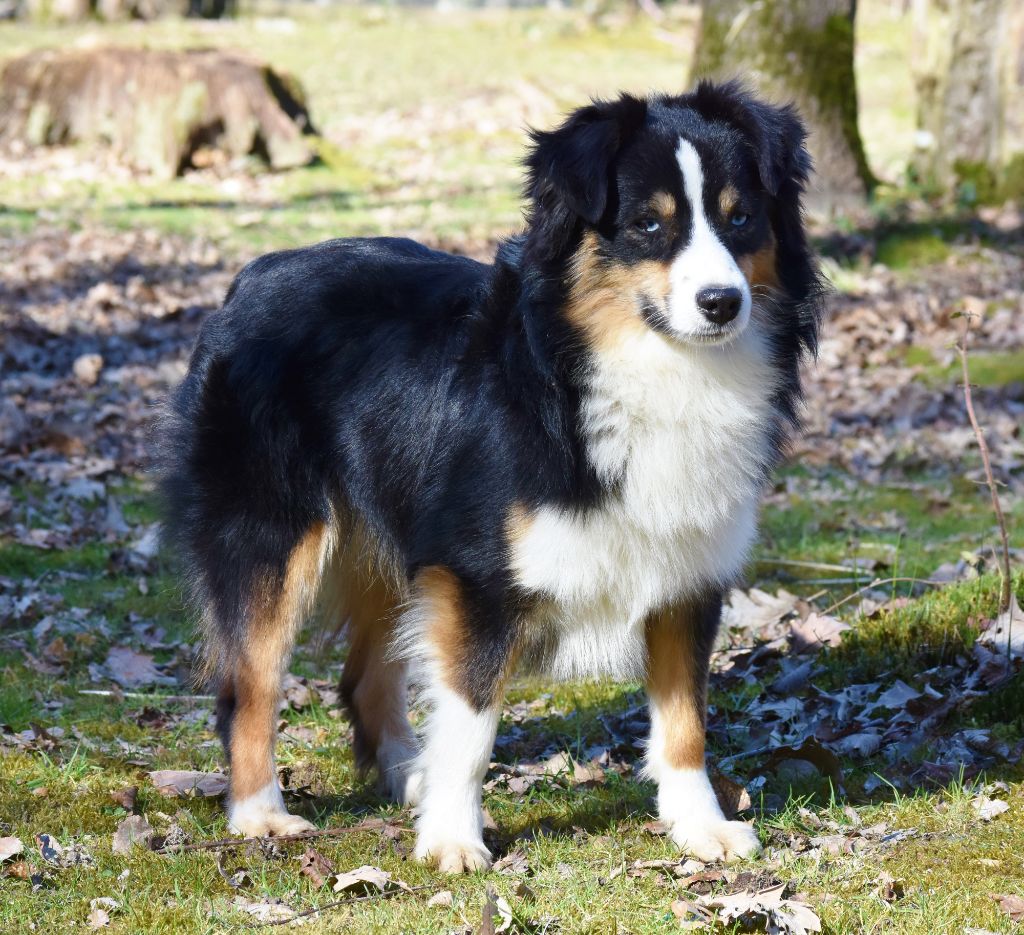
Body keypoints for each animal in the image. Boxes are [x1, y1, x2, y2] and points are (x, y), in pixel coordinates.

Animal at [161, 81, 823, 876]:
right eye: (648, 224)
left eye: (741, 217)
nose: (722, 303)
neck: (624, 365)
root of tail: (250, 278)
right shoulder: (476, 573)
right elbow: (473, 723)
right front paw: (453, 836)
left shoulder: (687, 571)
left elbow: (686, 719)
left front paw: (701, 826)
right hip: (270, 536)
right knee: (251, 683)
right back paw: (261, 812)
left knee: (364, 677)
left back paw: (409, 777)